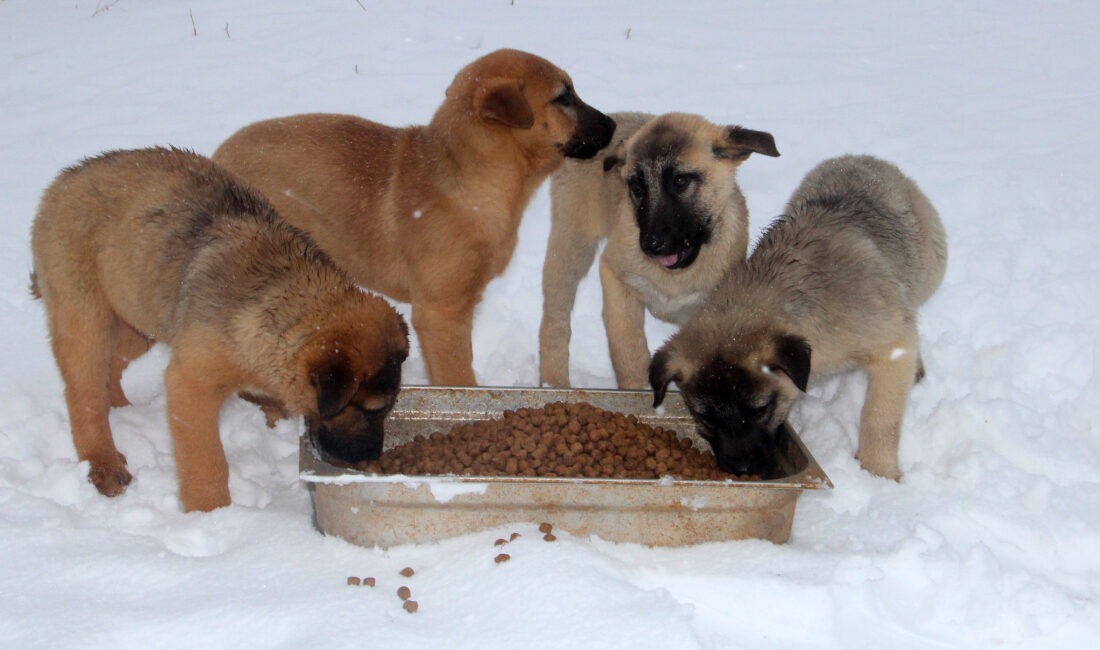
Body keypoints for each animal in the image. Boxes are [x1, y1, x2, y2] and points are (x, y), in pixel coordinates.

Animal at [35, 148, 413, 514]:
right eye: (371, 409)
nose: (370, 459)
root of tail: (65, 178)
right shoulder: (192, 384)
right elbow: (207, 460)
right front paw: (212, 512)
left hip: (138, 313)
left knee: (111, 366)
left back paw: (123, 410)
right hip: (84, 312)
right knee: (83, 392)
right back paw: (104, 465)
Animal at [210, 49, 616, 391]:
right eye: (563, 97)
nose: (613, 124)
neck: (470, 179)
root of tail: (218, 156)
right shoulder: (440, 313)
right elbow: (458, 378)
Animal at [536, 110, 778, 391]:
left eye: (680, 181)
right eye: (636, 188)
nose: (651, 245)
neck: (677, 276)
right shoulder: (616, 278)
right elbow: (628, 348)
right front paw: (639, 390)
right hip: (571, 244)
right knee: (555, 320)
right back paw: (553, 383)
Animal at [651, 155, 946, 481]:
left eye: (759, 409)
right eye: (704, 416)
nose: (740, 468)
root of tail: (863, 158)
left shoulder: (891, 348)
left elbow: (880, 417)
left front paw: (879, 473)